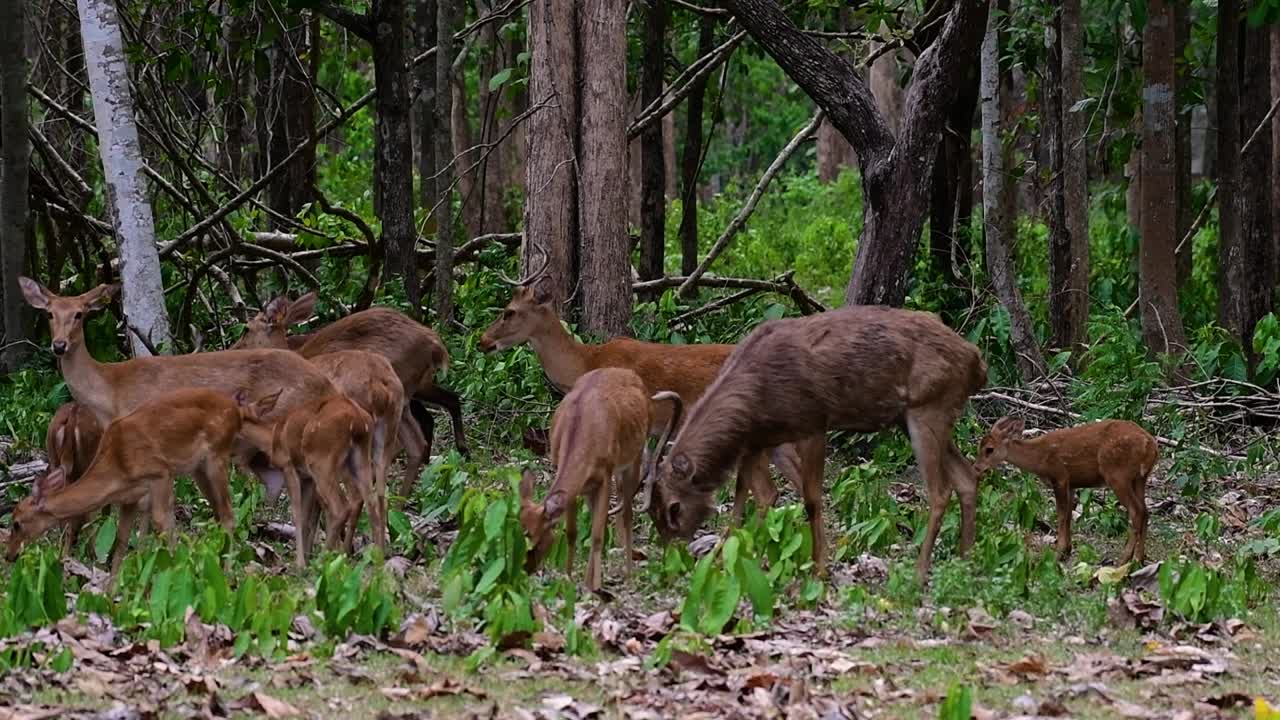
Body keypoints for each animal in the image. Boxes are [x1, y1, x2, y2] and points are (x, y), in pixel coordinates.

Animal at [237, 388, 377, 567]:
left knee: (341, 506)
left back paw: (325, 559)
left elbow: (297, 514)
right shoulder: (307, 478)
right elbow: (307, 518)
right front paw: (306, 556)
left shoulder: (288, 466)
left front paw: (300, 563)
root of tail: (357, 419)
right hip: (360, 457)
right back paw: (367, 558)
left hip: (321, 461)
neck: (272, 439)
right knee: (370, 501)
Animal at [518, 367, 682, 592]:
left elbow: (597, 534)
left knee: (626, 512)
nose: (525, 572)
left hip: (634, 455)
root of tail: (633, 376)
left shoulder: (606, 472)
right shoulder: (570, 477)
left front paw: (594, 587)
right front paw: (569, 579)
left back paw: (628, 573)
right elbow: (572, 532)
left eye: (535, 541)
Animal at [643, 305, 988, 584]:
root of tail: (977, 361)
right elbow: (745, 499)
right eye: (653, 513)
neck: (754, 401)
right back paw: (966, 560)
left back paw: (919, 573)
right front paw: (722, 559)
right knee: (966, 476)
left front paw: (820, 567)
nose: (670, 558)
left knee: (940, 490)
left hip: (929, 408)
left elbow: (810, 498)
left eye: (674, 508)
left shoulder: (812, 423)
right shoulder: (756, 440)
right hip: (915, 416)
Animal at [972, 416, 1158, 565]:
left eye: (989, 449)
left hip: (1117, 474)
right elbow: (1068, 515)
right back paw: (1138, 559)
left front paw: (1057, 553)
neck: (1039, 458)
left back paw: (1123, 560)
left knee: (1136, 511)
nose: (976, 468)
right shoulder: (1071, 483)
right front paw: (1067, 550)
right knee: (1145, 511)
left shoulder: (1059, 477)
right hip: (1139, 478)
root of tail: (1151, 446)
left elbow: (1061, 515)